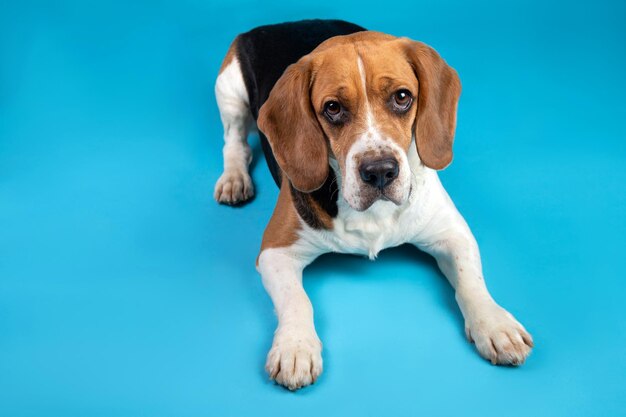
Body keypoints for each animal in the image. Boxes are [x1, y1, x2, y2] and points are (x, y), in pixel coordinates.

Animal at [213, 19, 532, 390]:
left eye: (402, 97)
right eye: (332, 108)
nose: (379, 171)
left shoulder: (453, 233)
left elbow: (471, 282)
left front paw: (495, 324)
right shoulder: (275, 251)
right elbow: (297, 300)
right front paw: (295, 346)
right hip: (230, 93)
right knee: (234, 142)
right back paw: (234, 179)